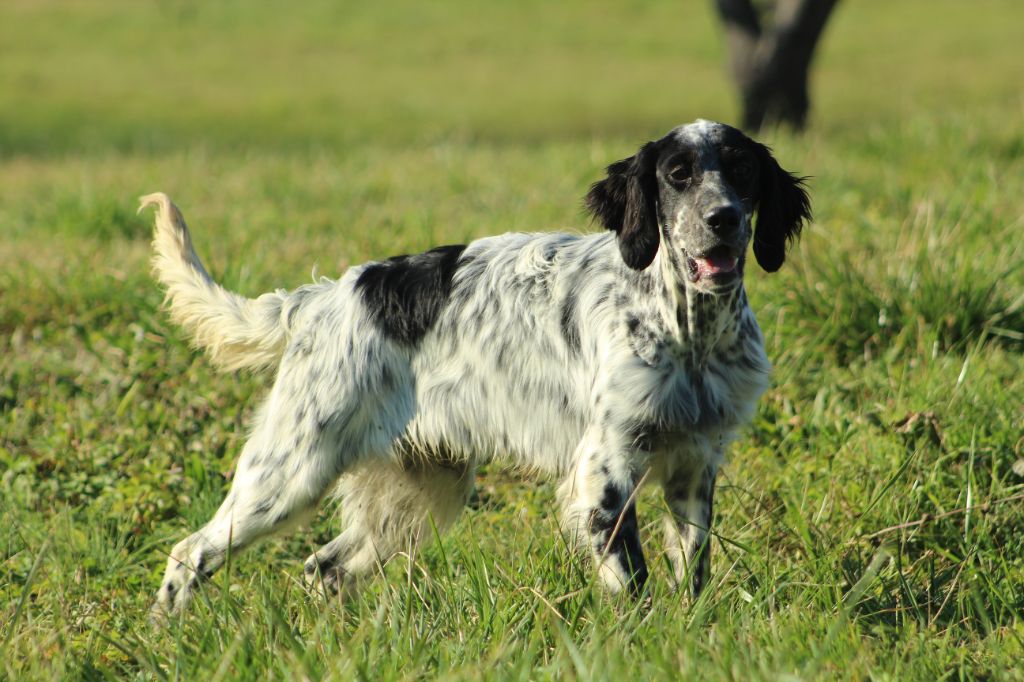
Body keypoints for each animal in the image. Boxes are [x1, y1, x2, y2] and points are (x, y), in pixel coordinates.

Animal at [144, 119, 811, 614]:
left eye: (742, 171)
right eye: (678, 175)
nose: (723, 218)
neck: (687, 331)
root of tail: (323, 298)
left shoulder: (695, 463)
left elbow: (692, 570)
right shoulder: (605, 468)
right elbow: (634, 585)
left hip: (421, 491)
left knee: (322, 567)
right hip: (290, 472)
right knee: (190, 551)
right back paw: (166, 632)